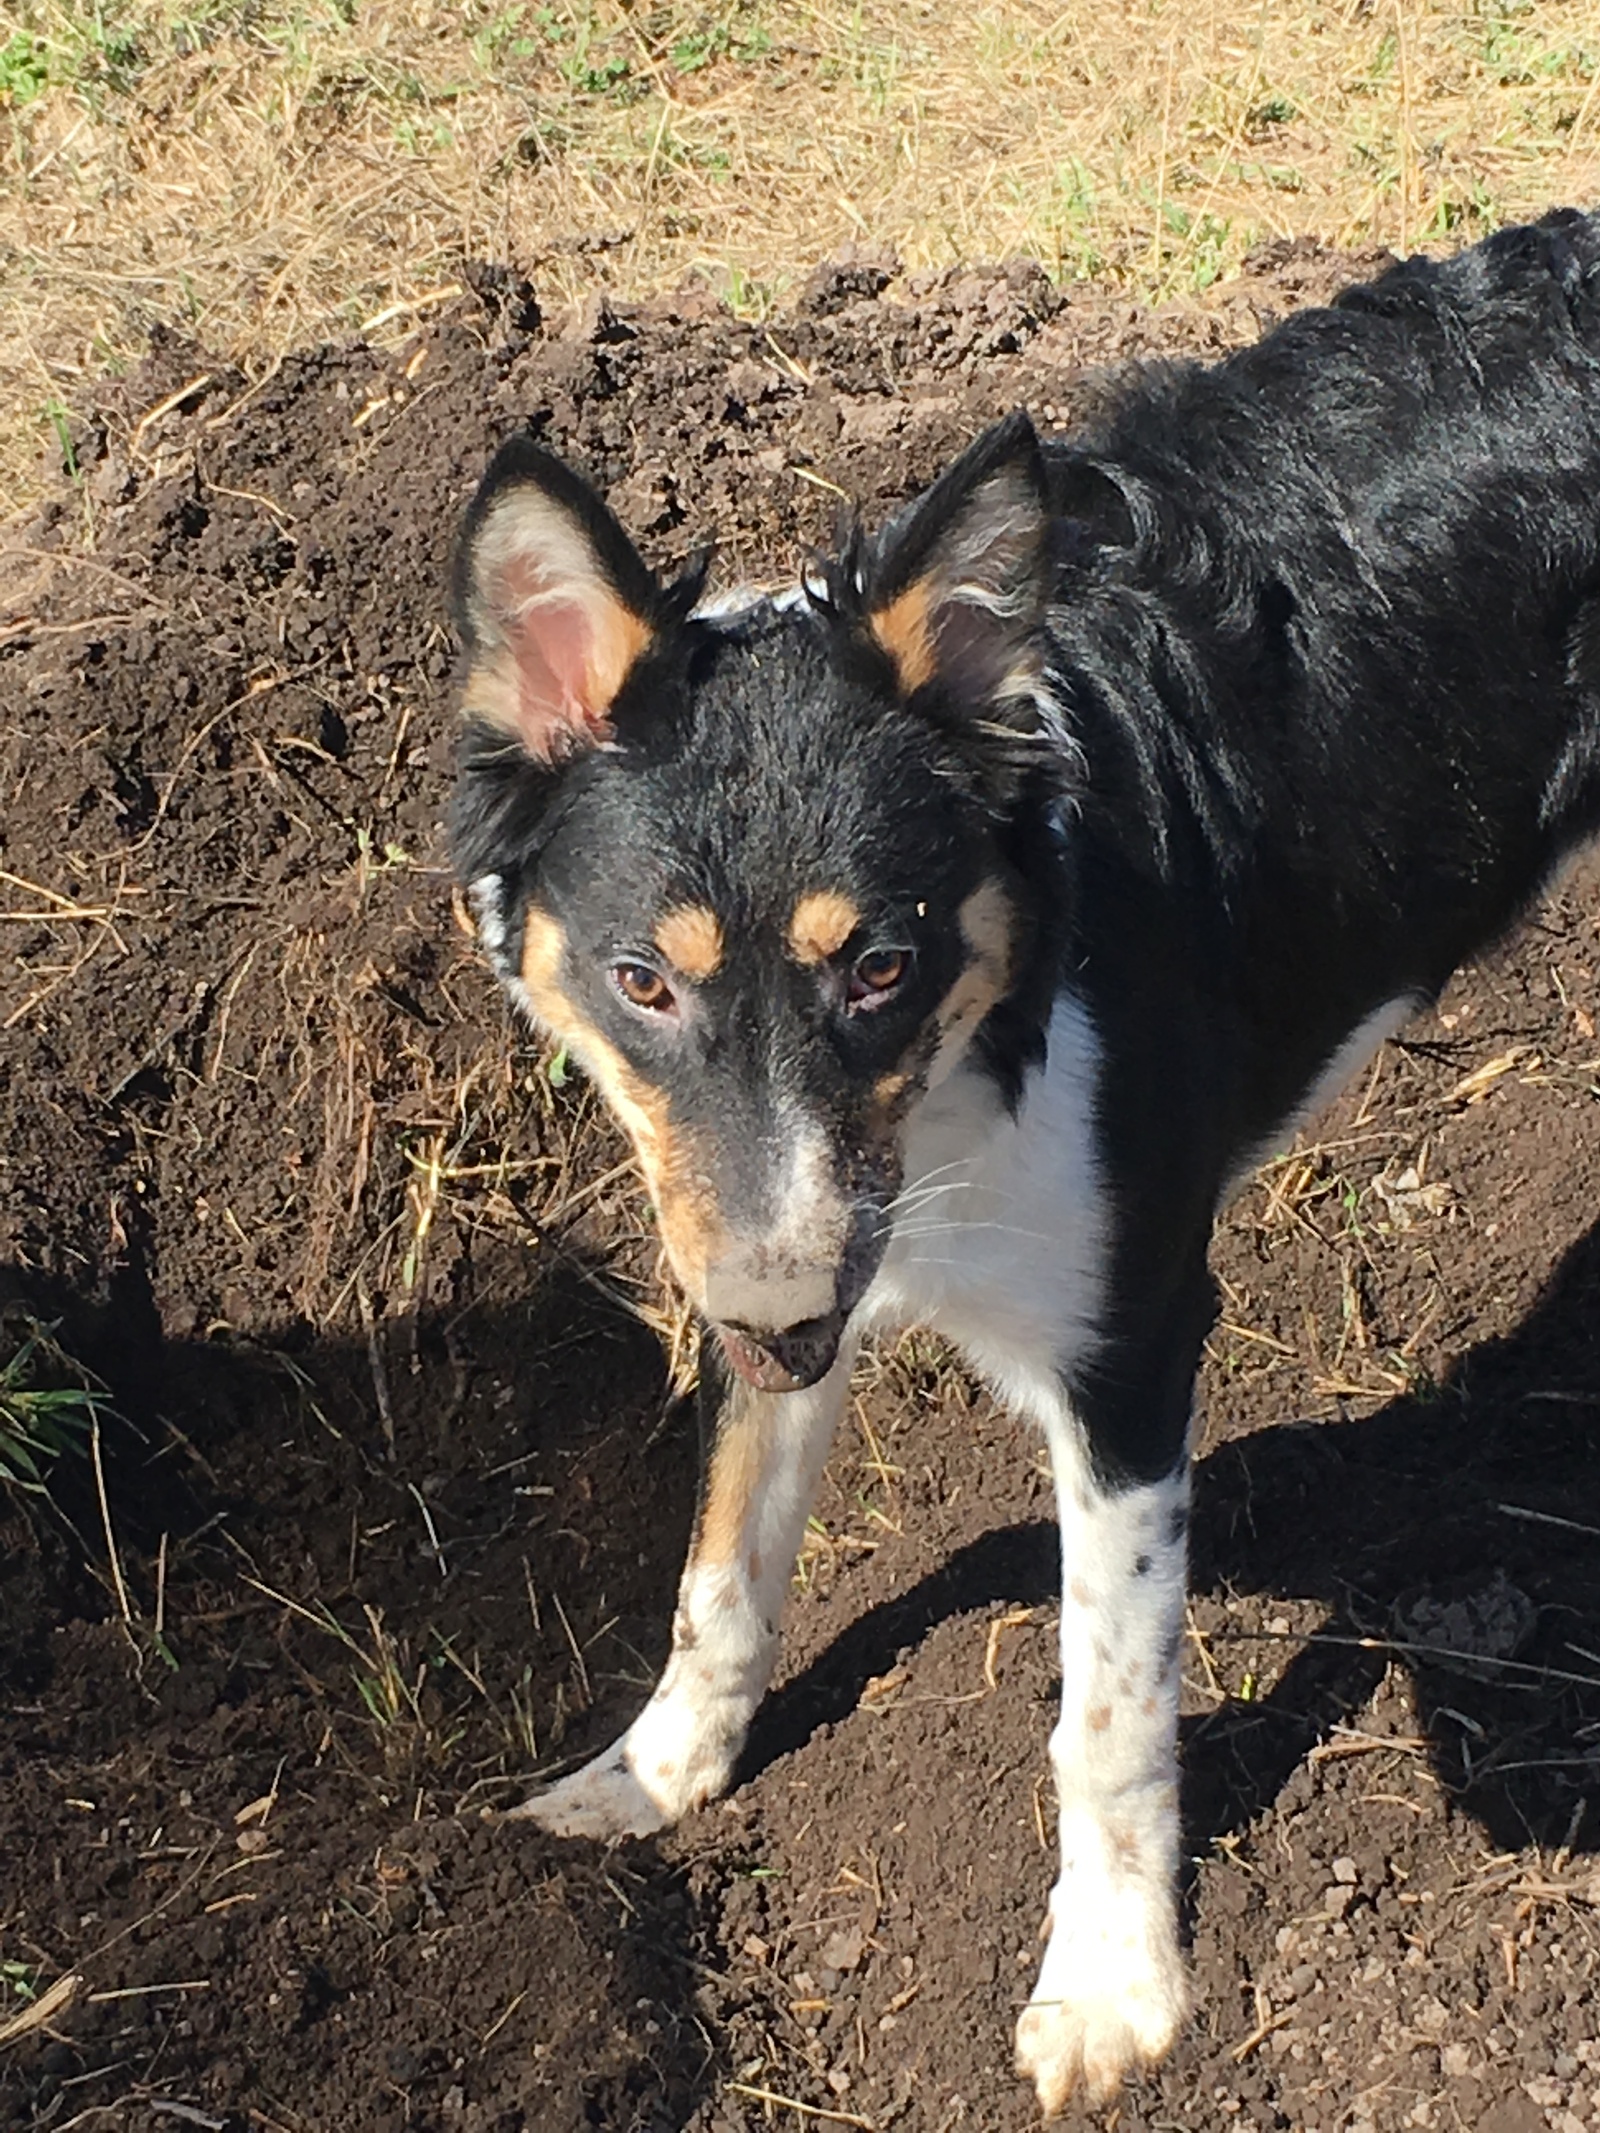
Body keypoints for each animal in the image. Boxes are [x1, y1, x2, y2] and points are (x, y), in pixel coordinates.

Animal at [448, 207, 1600, 2107]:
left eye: (878, 965)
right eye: (642, 981)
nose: (781, 1321)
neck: (981, 1031)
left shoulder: (1131, 1341)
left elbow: (1106, 1718)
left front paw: (1117, 1990)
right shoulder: (771, 1242)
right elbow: (721, 1564)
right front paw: (656, 1776)